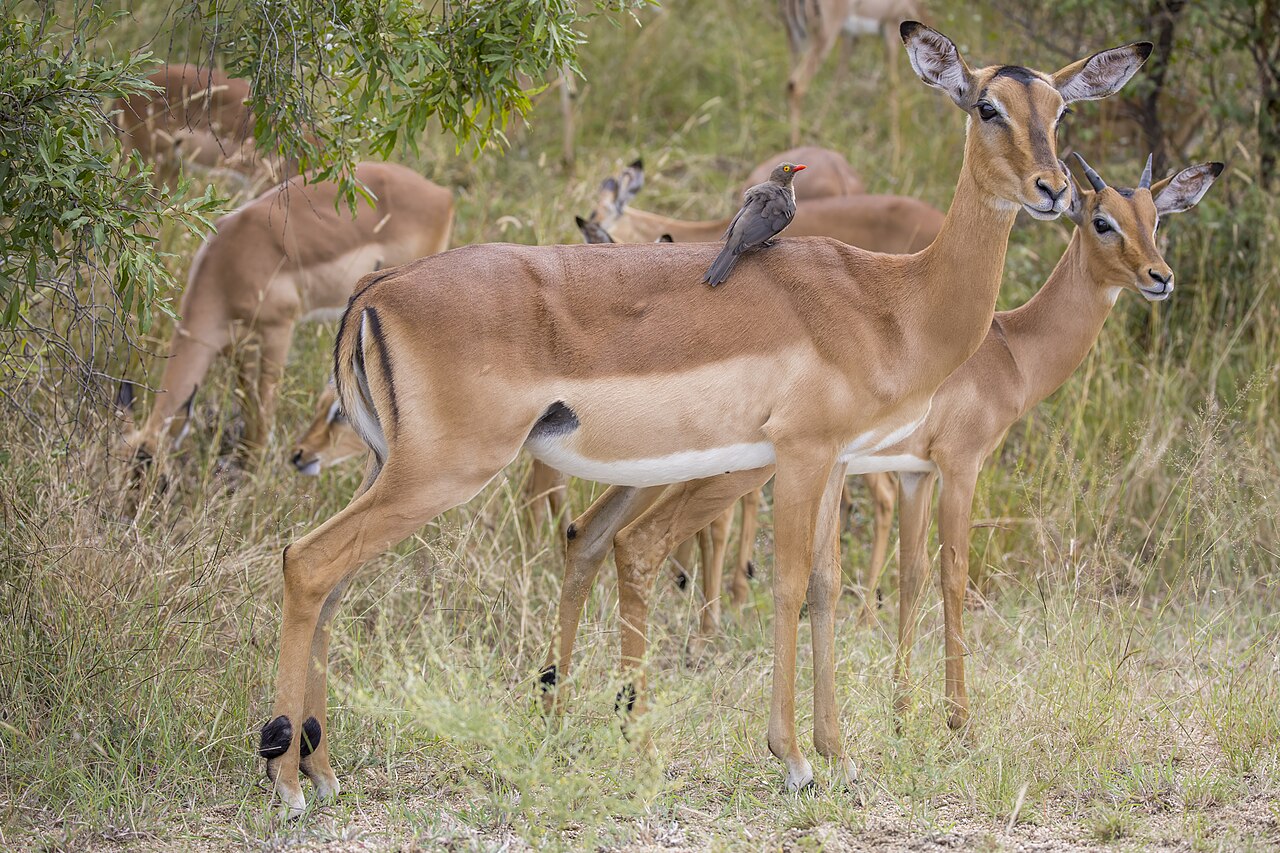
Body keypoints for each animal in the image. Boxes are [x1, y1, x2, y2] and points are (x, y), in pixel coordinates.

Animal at [120, 161, 454, 472]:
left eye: (147, 466)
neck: (226, 267)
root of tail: (442, 195)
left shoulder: (278, 330)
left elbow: (266, 400)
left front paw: (255, 467)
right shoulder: (239, 345)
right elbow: (249, 401)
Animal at [260, 24, 1149, 814]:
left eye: (1059, 111)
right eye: (985, 106)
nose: (1054, 191)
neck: (891, 301)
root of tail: (375, 292)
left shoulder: (837, 462)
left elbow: (825, 588)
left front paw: (842, 755)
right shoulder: (801, 454)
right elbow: (787, 585)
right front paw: (793, 761)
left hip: (395, 470)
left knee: (334, 581)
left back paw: (326, 770)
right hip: (443, 471)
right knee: (307, 561)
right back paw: (290, 783)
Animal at [548, 153, 1221, 738]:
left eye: (1155, 219)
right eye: (1102, 220)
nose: (1159, 277)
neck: (1009, 349)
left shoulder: (914, 473)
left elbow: (911, 577)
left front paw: (902, 711)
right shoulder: (959, 466)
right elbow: (951, 575)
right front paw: (957, 719)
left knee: (587, 533)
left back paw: (557, 696)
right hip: (727, 475)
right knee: (640, 543)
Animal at [782, 0, 927, 146]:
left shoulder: (850, 36)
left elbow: (840, 76)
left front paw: (814, 131)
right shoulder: (891, 28)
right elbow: (893, 83)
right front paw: (895, 143)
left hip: (794, 40)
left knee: (789, 82)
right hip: (823, 36)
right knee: (797, 85)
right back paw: (796, 142)